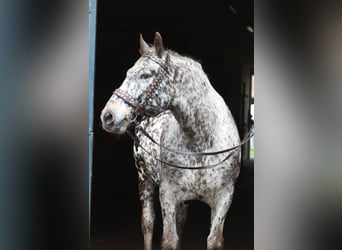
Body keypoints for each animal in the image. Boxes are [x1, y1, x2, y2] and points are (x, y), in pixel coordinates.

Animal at [100, 32, 242, 249]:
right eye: (128, 73)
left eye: (146, 75)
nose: (108, 116)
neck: (200, 144)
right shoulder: (168, 194)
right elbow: (168, 239)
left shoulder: (224, 197)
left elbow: (213, 239)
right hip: (145, 181)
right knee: (148, 223)